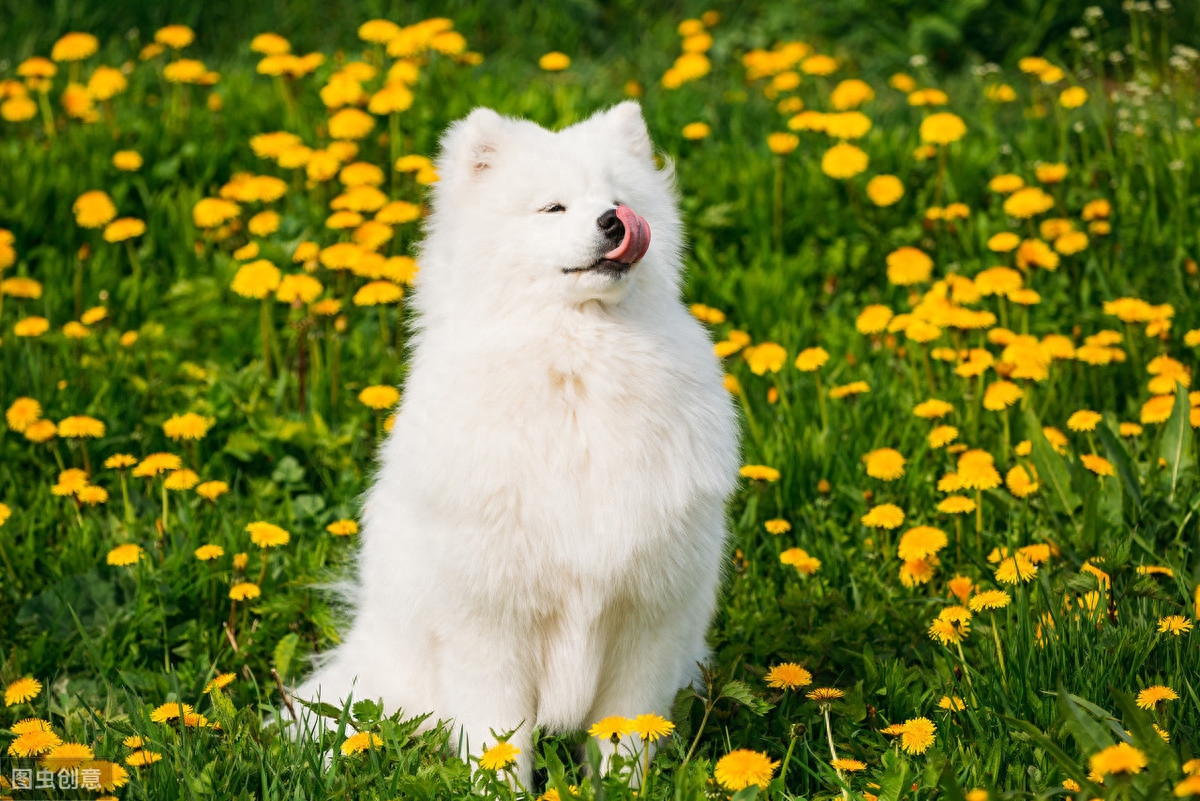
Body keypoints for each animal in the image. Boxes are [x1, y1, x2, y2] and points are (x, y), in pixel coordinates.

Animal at [295, 103, 734, 786]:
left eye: (618, 199)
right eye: (552, 208)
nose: (614, 222)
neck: (578, 366)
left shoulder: (647, 619)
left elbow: (625, 737)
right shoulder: (491, 623)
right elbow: (499, 742)